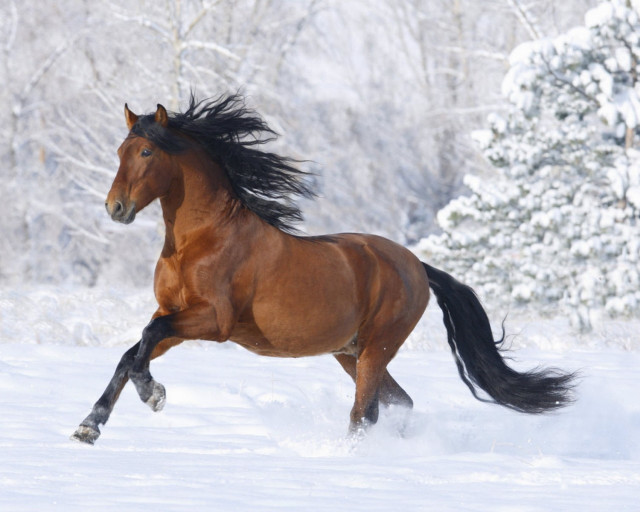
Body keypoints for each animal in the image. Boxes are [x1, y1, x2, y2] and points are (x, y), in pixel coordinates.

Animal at [71, 94, 575, 445]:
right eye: (120, 151)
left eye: (146, 154)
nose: (115, 208)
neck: (202, 240)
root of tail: (415, 264)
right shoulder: (172, 314)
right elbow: (132, 352)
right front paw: (89, 426)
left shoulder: (213, 321)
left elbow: (144, 341)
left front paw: (153, 395)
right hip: (350, 352)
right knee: (398, 402)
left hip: (376, 348)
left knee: (364, 412)